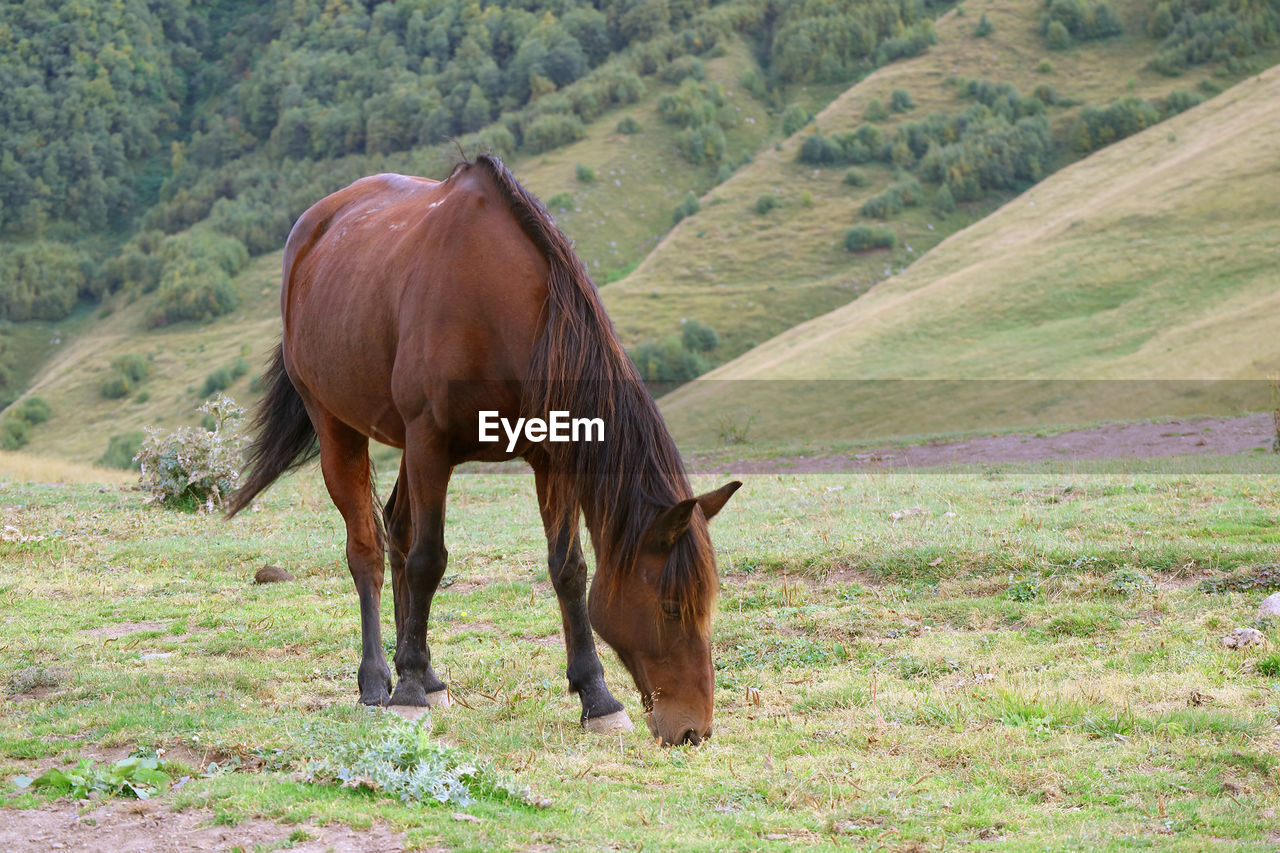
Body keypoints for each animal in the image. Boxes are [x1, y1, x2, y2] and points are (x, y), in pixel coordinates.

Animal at [225, 154, 737, 742]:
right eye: (672, 607)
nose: (694, 730)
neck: (497, 309)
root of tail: (311, 230)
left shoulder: (550, 456)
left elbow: (568, 569)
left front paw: (597, 698)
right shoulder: (430, 443)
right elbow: (428, 561)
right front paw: (406, 693)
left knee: (397, 529)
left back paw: (428, 676)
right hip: (339, 427)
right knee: (369, 551)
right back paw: (379, 682)